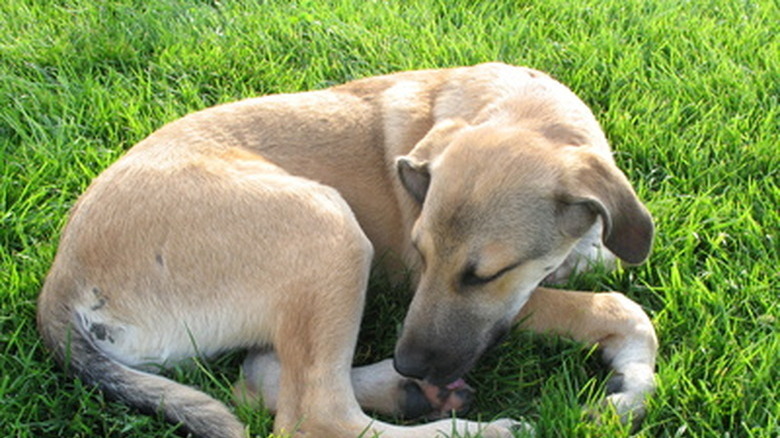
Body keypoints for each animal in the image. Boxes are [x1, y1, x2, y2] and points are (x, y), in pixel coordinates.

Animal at [38, 63, 660, 436]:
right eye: (421, 253)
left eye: (483, 275)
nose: (412, 361)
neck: (520, 106)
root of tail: (60, 285)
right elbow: (623, 308)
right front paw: (632, 384)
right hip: (328, 229)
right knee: (316, 416)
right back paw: (466, 422)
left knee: (260, 377)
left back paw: (405, 391)